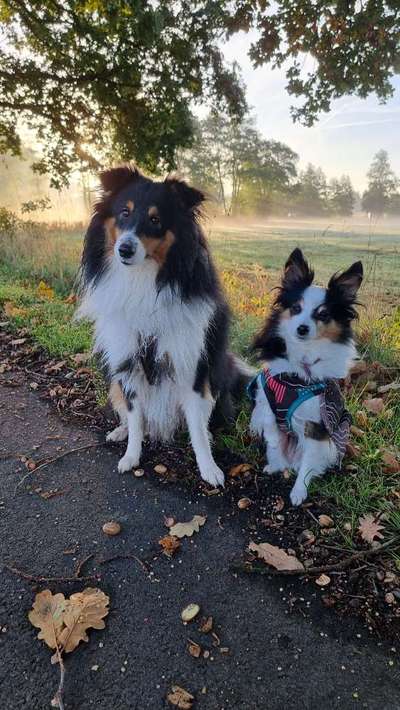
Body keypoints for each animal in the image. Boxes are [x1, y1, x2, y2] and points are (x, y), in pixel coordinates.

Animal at [77, 167, 248, 490]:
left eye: (155, 220)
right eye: (124, 212)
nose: (124, 249)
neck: (144, 279)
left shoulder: (190, 365)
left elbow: (196, 428)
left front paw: (209, 469)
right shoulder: (129, 361)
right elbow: (135, 417)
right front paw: (131, 455)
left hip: (216, 375)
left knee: (203, 417)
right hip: (115, 381)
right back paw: (119, 431)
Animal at [250, 250, 362, 506]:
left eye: (323, 314)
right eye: (295, 308)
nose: (302, 328)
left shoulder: (316, 426)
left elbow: (308, 464)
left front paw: (298, 491)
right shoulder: (267, 400)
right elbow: (271, 428)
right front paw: (275, 450)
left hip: (333, 442)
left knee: (310, 464)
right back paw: (276, 465)